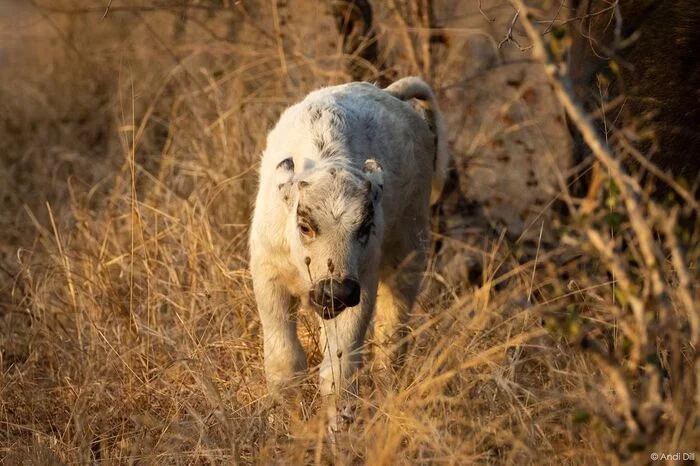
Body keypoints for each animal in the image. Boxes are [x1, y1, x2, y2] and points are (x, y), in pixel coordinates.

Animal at [250, 75, 448, 430]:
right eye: (305, 226)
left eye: (365, 227)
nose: (336, 291)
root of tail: (389, 93)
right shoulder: (268, 275)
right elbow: (285, 363)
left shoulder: (361, 287)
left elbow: (338, 370)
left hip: (409, 253)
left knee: (391, 337)